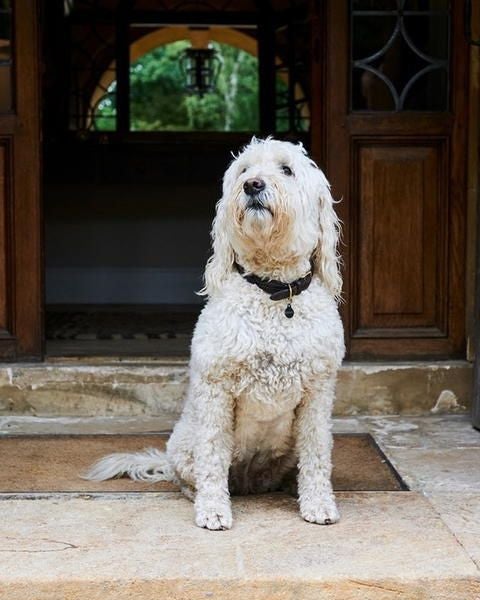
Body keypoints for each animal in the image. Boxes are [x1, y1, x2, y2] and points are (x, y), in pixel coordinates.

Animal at [86, 137, 344, 528]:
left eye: (286, 169)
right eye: (244, 170)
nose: (253, 185)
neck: (273, 293)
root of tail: (250, 482)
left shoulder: (317, 392)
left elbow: (316, 454)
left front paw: (317, 503)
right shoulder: (215, 390)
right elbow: (212, 455)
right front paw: (212, 509)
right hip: (183, 444)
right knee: (189, 476)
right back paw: (200, 495)